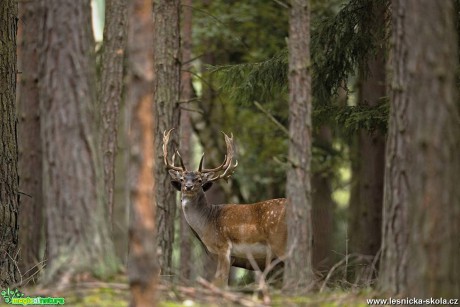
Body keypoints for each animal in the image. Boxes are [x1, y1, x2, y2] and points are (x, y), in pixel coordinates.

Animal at [162, 129, 286, 288]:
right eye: (182, 179)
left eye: (199, 180)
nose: (188, 186)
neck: (207, 224)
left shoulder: (224, 247)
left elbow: (220, 281)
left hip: (279, 240)